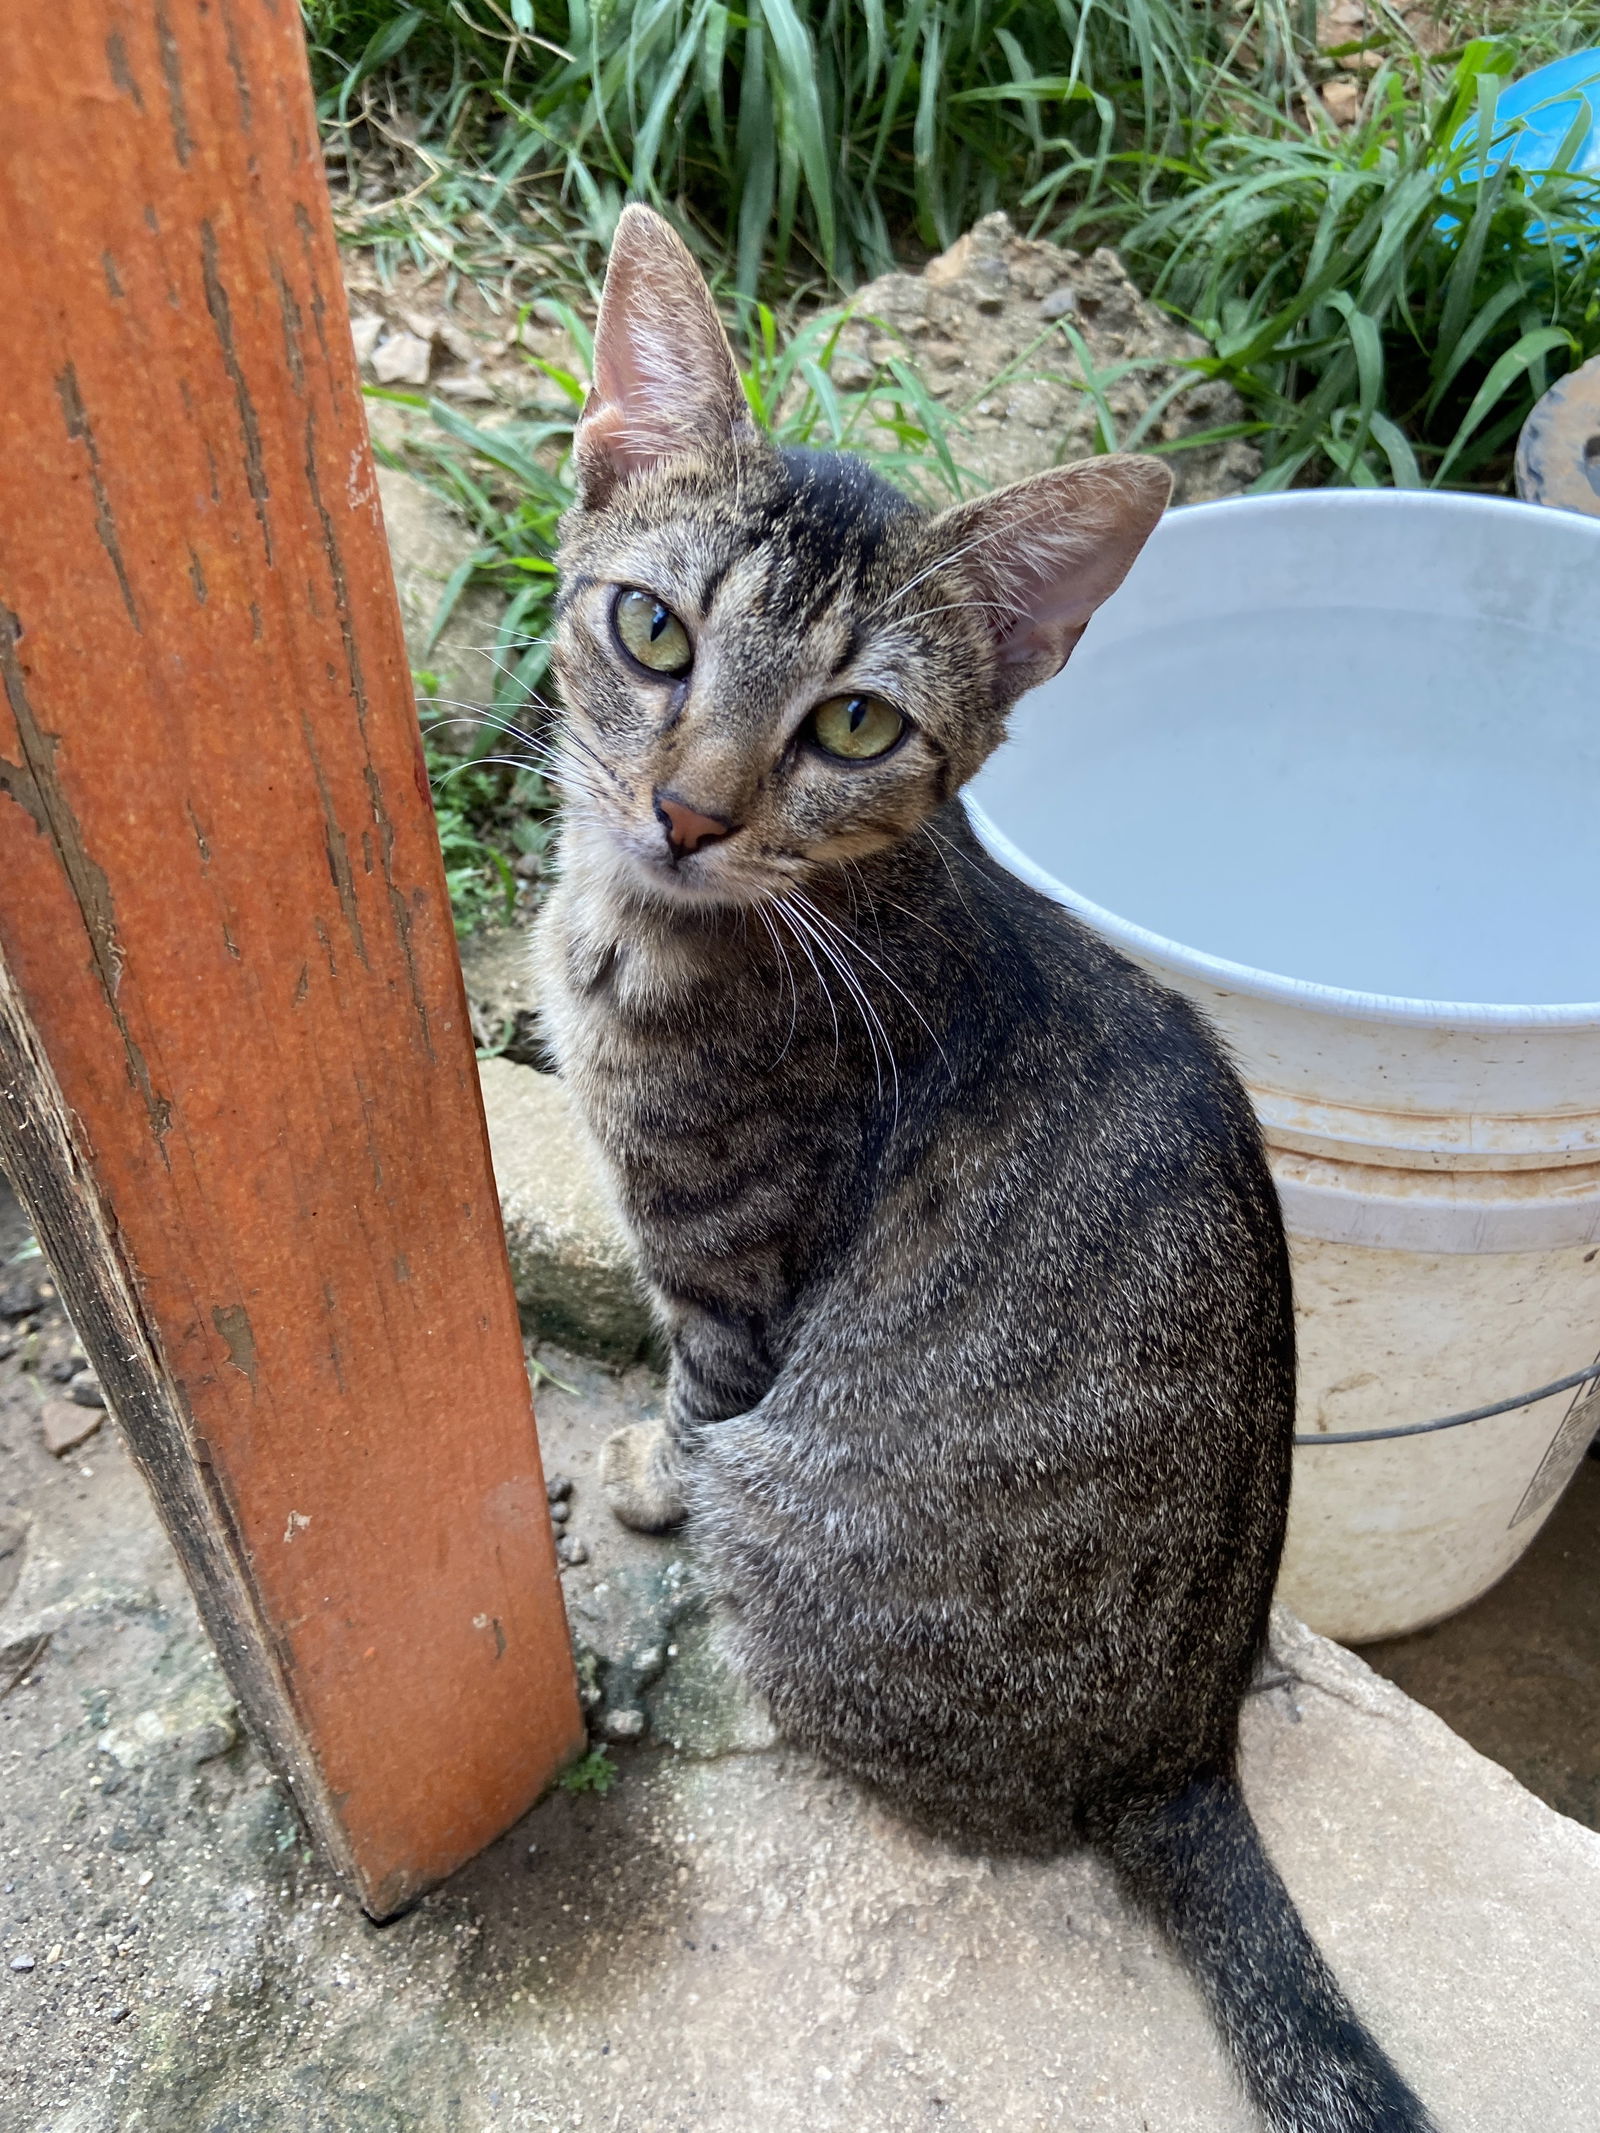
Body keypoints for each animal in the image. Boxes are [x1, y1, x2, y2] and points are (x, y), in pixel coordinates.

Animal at [533, 200, 1433, 2133]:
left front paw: (642, 1469)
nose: (689, 814)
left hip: (804, 1521)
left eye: (856, 726)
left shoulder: (728, 1276)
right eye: (652, 629)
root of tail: (1183, 1756)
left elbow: (688, 1393)